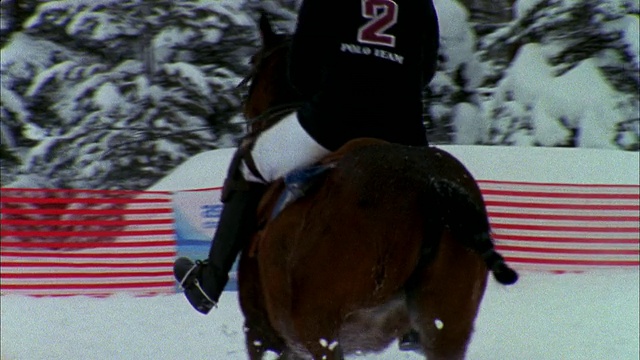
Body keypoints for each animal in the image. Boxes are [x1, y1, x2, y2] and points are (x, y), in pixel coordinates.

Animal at [232, 14, 516, 360]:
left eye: (253, 64)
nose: (246, 112)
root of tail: (432, 184)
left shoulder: (261, 333)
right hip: (446, 326)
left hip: (320, 327)